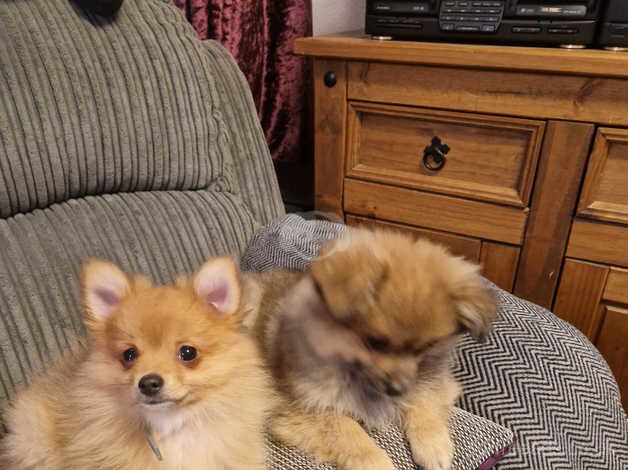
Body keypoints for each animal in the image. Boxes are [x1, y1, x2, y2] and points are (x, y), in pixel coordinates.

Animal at [243, 229, 498, 470]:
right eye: (373, 342)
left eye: (425, 347)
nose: (396, 389)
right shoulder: (298, 406)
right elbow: (349, 430)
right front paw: (377, 462)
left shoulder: (428, 378)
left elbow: (423, 399)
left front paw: (433, 445)